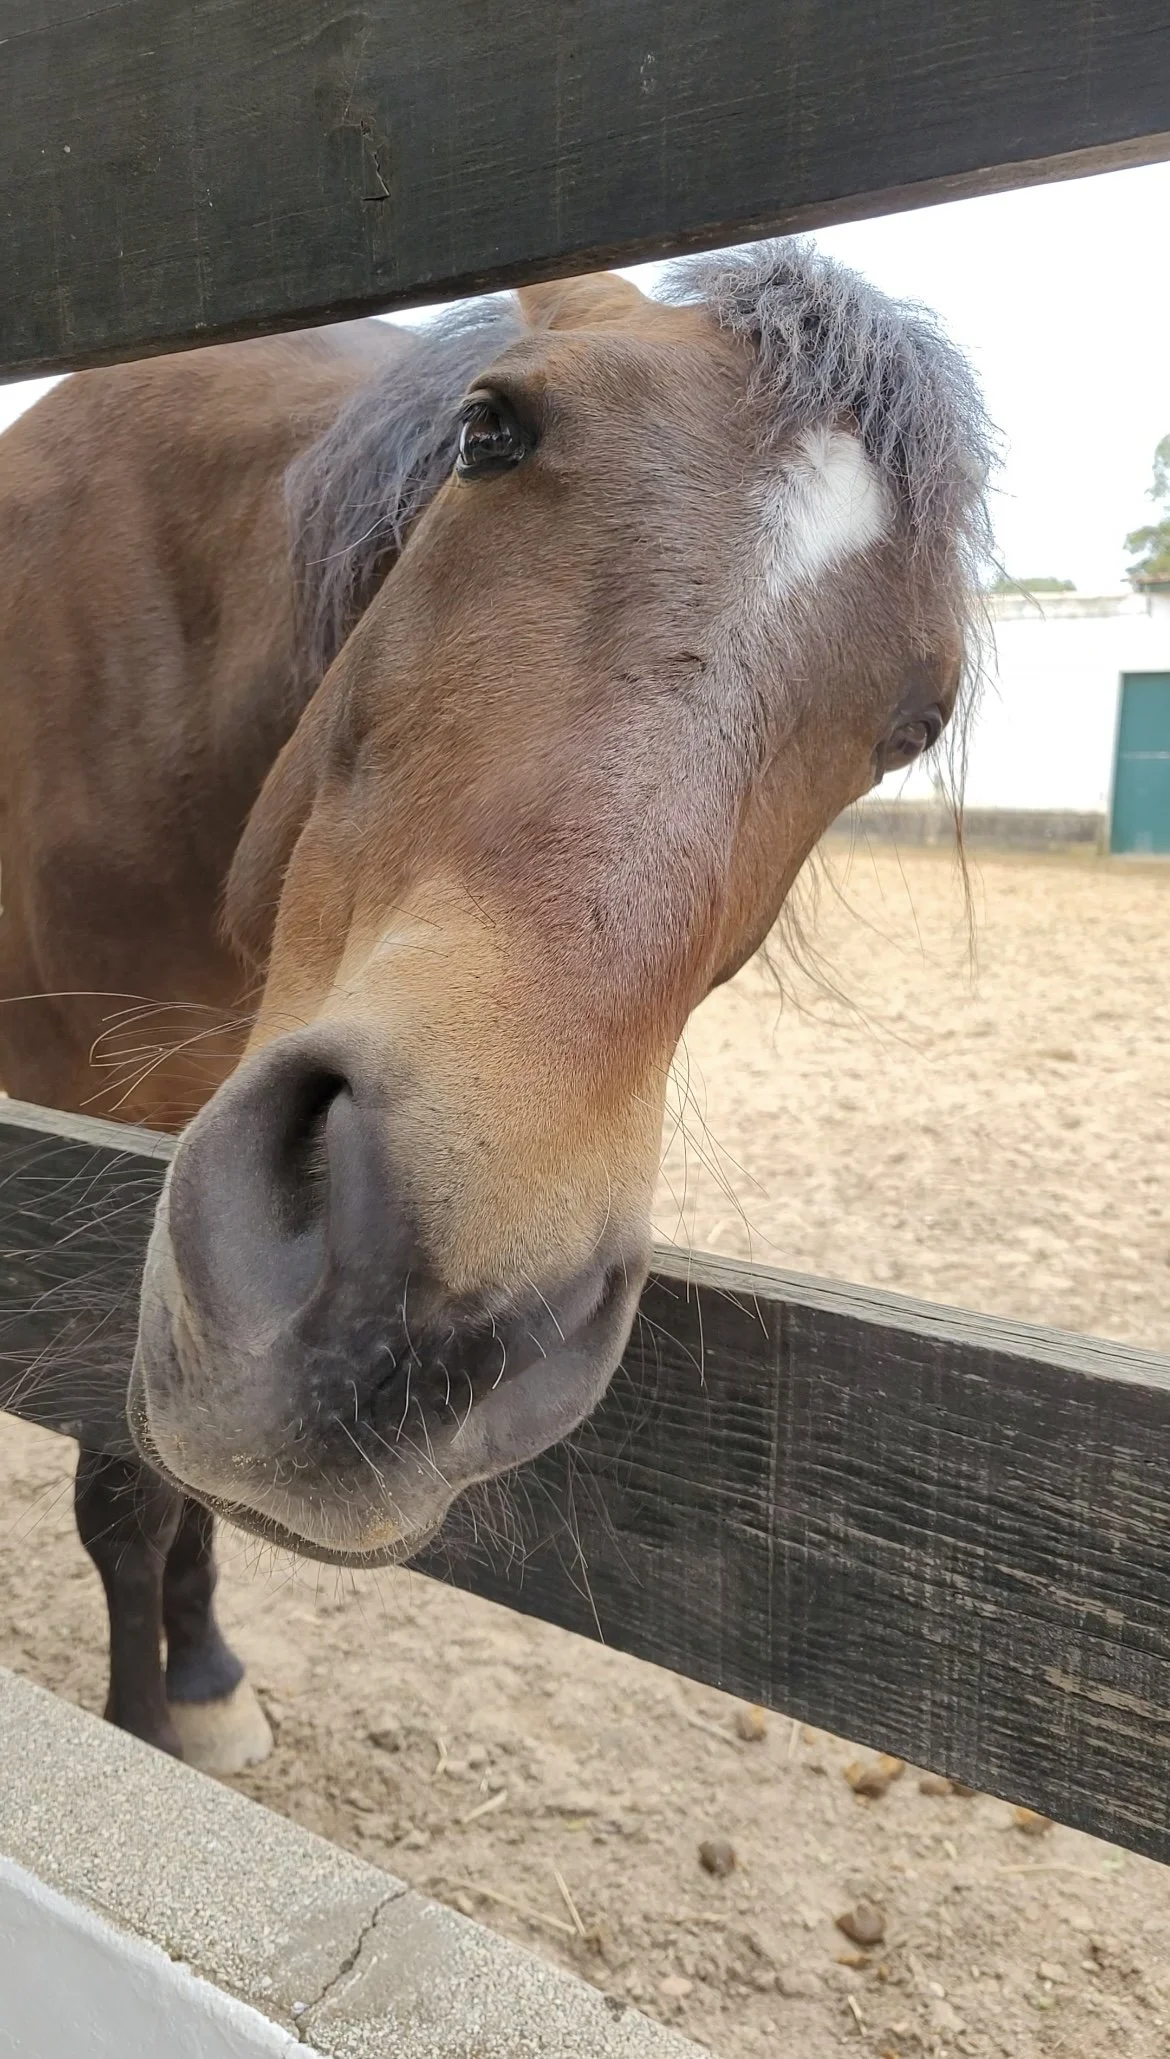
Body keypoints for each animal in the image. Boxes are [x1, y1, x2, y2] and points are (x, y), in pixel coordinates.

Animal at [0, 242, 992, 1770]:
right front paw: (145, 1726)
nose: (407, 1312)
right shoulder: (78, 1126)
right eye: (491, 430)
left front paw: (206, 1676)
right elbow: (126, 1491)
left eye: (915, 720)